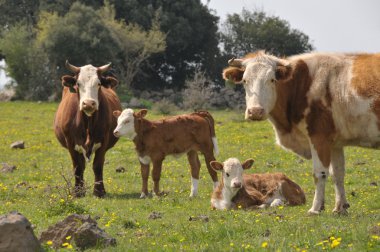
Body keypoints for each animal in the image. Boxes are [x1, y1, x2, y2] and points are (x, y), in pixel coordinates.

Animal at [53, 60, 120, 197]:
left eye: (99, 84)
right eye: (78, 84)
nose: (88, 103)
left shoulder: (103, 140)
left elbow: (98, 165)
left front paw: (99, 191)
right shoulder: (71, 142)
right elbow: (78, 167)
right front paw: (78, 192)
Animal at [223, 51, 380, 215]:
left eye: (272, 79)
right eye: (245, 80)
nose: (255, 111)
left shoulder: (319, 137)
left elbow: (319, 174)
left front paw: (315, 209)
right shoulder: (335, 143)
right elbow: (337, 173)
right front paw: (340, 208)